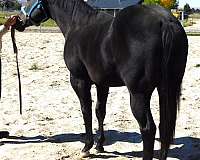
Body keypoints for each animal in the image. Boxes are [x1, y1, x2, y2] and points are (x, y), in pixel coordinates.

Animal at [13, 0, 188, 159]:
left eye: (29, 0)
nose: (18, 20)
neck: (77, 24)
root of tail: (164, 21)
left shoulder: (79, 80)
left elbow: (86, 111)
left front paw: (87, 146)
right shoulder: (102, 83)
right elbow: (100, 111)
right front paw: (100, 145)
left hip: (139, 94)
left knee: (148, 128)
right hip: (167, 88)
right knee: (164, 127)